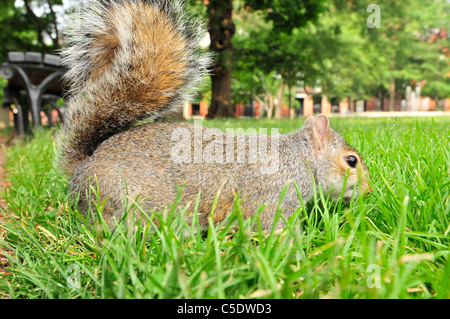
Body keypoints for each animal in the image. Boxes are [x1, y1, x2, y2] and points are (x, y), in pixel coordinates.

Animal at [58, 0, 370, 231]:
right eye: (351, 161)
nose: (368, 189)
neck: (295, 160)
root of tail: (84, 167)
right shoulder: (270, 199)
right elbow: (274, 228)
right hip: (120, 198)